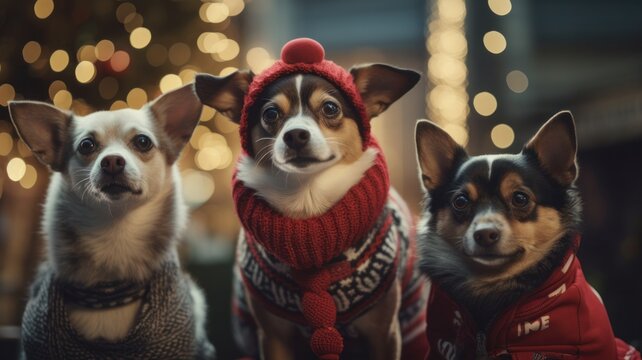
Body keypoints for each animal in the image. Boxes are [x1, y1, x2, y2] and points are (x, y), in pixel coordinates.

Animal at [192, 38, 428, 358]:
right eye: (270, 114)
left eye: (330, 108)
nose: (295, 135)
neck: (308, 202)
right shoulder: (273, 338)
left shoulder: (384, 334)